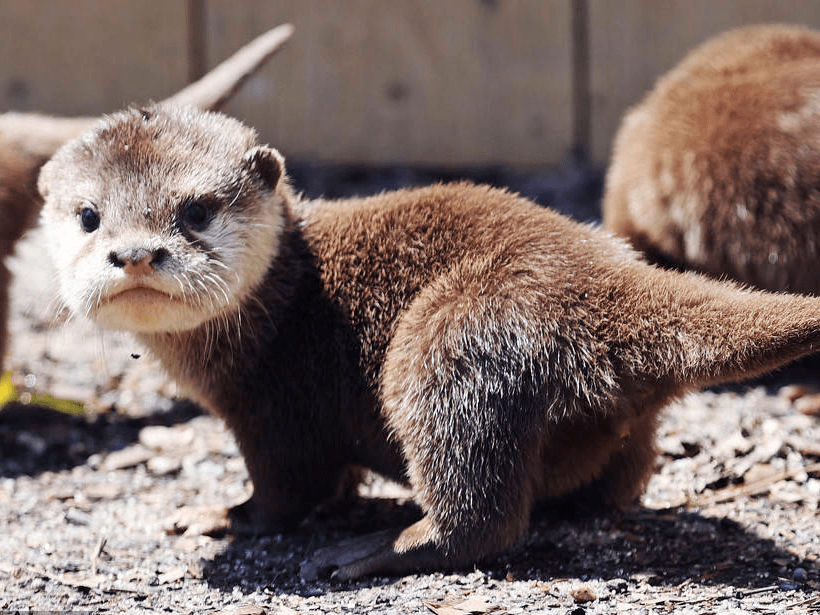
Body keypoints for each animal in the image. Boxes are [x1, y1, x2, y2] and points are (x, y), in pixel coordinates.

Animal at [36, 103, 820, 580]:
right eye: (89, 216)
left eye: (195, 211)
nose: (136, 254)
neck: (286, 304)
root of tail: (610, 283)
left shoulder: (277, 408)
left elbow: (288, 489)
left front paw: (219, 516)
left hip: (449, 340)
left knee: (482, 515)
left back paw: (378, 547)